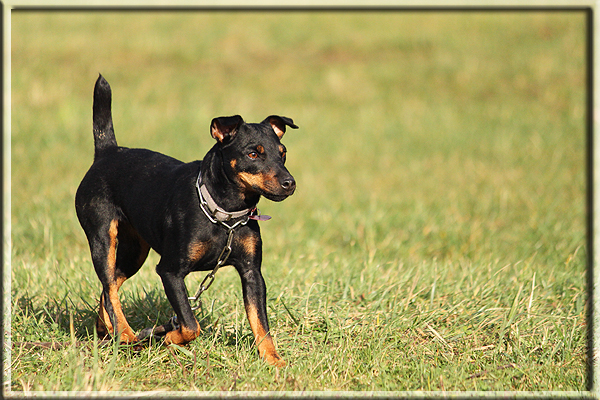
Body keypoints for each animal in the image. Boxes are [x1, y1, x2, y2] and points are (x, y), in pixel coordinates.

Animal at [76, 75, 296, 366]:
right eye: (253, 154)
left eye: (282, 153)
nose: (290, 183)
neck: (225, 217)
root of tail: (108, 151)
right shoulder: (170, 271)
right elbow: (191, 325)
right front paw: (170, 337)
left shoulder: (252, 273)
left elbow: (260, 322)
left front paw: (273, 360)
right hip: (103, 239)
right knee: (110, 285)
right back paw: (125, 333)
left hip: (134, 252)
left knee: (109, 284)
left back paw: (109, 329)